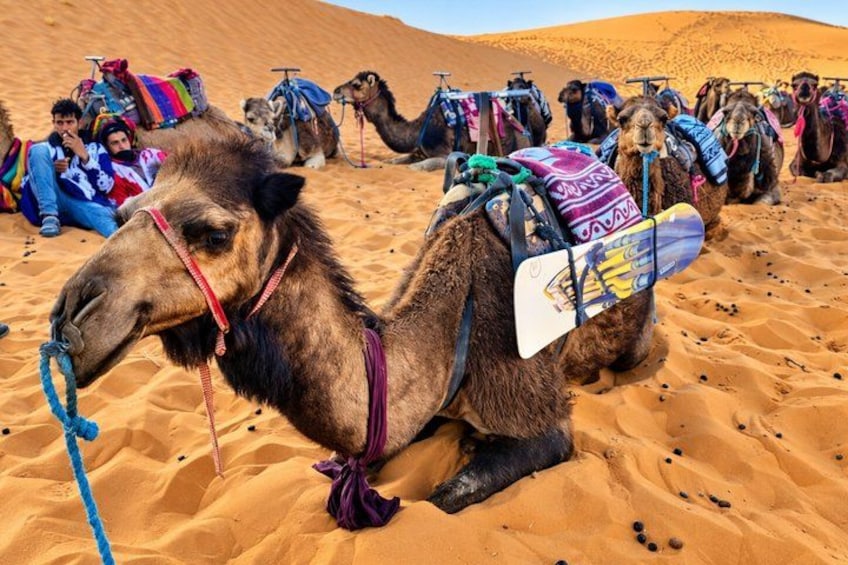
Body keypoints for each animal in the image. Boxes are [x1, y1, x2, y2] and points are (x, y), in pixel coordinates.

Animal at [51, 136, 655, 515]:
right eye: (122, 213)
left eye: (214, 235)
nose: (70, 318)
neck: (450, 328)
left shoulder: (538, 415)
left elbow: (444, 499)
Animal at [332, 71, 530, 172]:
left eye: (357, 84)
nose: (335, 91)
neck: (418, 129)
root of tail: (525, 132)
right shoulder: (418, 152)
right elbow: (393, 161)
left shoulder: (443, 155)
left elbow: (414, 168)